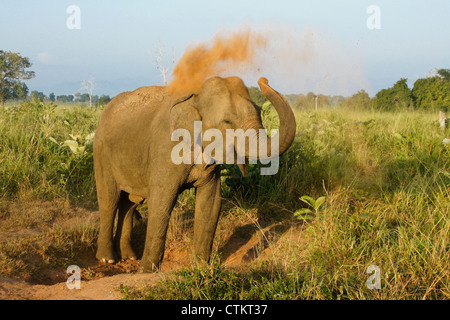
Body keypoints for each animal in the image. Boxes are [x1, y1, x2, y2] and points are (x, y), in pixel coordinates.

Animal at [93, 75, 298, 272]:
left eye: (259, 114)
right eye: (228, 122)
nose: (264, 80)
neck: (195, 97)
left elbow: (211, 203)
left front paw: (200, 267)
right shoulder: (165, 149)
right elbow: (161, 201)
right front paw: (146, 271)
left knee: (130, 202)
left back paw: (128, 257)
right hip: (101, 153)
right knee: (109, 200)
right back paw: (108, 259)